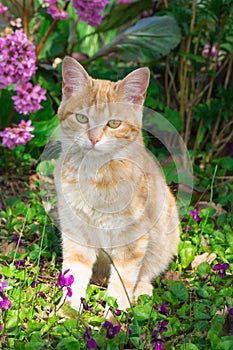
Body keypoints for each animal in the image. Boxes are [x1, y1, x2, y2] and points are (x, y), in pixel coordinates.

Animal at [55, 56, 180, 312]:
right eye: (81, 118)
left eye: (113, 123)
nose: (93, 139)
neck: (96, 175)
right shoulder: (76, 233)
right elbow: (75, 274)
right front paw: (68, 311)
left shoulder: (132, 242)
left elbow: (123, 283)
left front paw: (114, 317)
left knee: (146, 276)